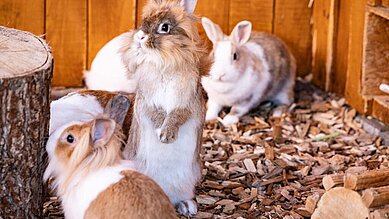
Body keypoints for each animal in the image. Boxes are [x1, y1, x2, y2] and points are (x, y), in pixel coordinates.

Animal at [121, 0, 208, 216]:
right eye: (143, 22)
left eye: (165, 27)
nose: (140, 37)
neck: (163, 63)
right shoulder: (148, 102)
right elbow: (158, 114)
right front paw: (162, 133)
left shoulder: (186, 103)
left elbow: (176, 115)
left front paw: (166, 135)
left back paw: (187, 207)